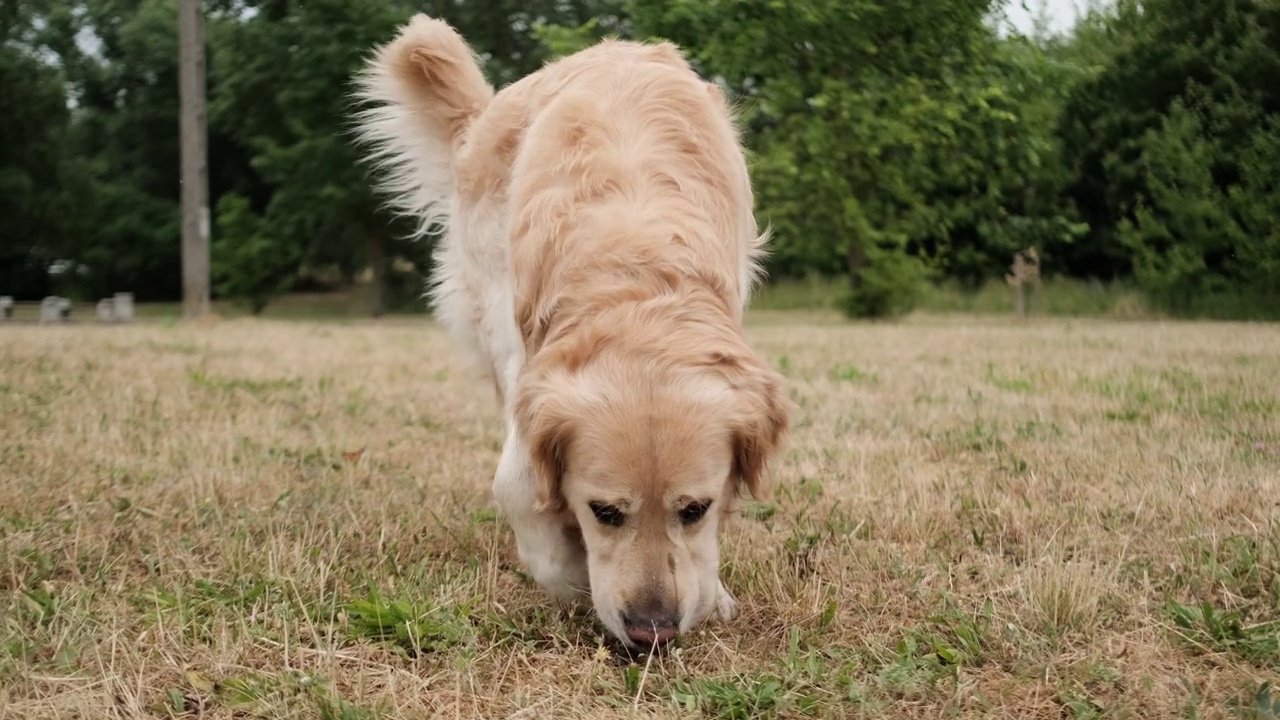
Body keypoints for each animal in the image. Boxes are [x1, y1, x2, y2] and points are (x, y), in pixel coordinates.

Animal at [355, 15, 783, 645]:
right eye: (604, 512)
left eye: (694, 510)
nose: (652, 631)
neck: (634, 274)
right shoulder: (521, 356)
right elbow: (519, 488)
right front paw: (571, 571)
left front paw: (714, 592)